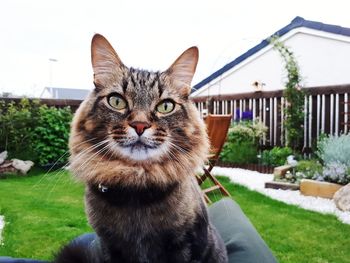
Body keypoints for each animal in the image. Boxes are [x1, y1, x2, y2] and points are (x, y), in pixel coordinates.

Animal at [55, 34, 227, 262]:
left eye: (165, 106)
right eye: (116, 101)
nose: (140, 125)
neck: (136, 186)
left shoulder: (187, 244)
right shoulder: (108, 246)